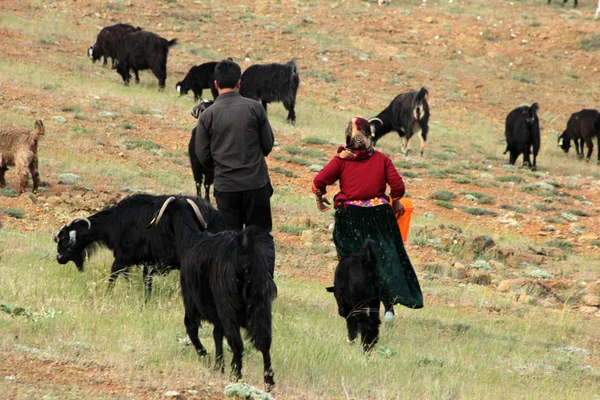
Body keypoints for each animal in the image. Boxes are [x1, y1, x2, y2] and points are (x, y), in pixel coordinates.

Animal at [52, 194, 223, 300]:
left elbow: (115, 273)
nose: (59, 258)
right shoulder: (140, 260)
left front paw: (108, 294)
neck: (114, 222)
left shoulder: (124, 255)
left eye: (63, 238)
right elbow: (131, 276)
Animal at [148, 198, 276, 390]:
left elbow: (191, 327)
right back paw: (268, 380)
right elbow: (217, 334)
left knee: (237, 343)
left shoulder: (191, 300)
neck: (191, 240)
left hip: (228, 305)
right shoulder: (217, 315)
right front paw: (218, 365)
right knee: (264, 341)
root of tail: (244, 249)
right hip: (260, 304)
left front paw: (206, 357)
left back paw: (236, 375)